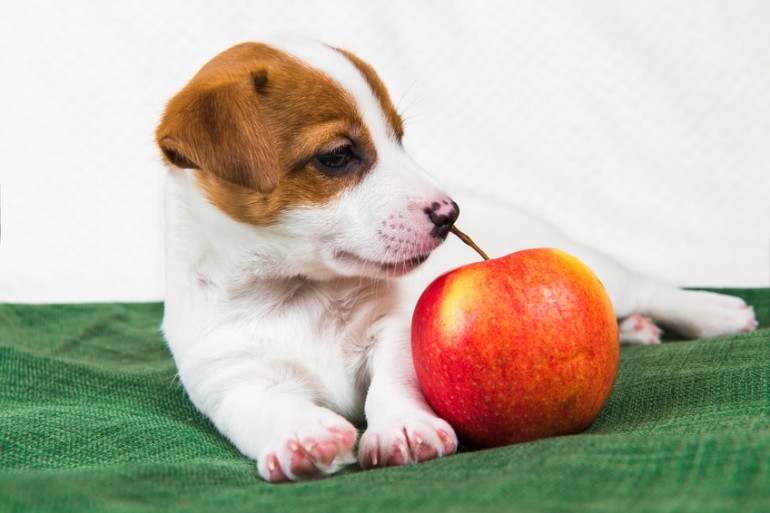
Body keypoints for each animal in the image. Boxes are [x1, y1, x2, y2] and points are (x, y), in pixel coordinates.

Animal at [156, 37, 756, 480]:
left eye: (399, 138)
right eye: (338, 156)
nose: (449, 213)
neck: (297, 294)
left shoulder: (397, 331)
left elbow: (393, 382)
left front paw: (402, 428)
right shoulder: (229, 379)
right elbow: (264, 408)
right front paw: (301, 435)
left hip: (606, 271)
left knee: (648, 287)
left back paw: (714, 313)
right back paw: (633, 329)